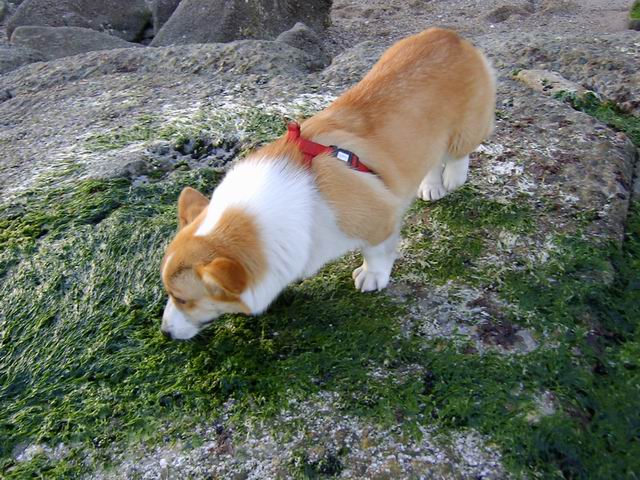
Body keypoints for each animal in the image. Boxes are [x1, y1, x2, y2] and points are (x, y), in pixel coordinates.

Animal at [160, 28, 495, 339]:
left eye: (183, 299)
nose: (164, 332)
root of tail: (449, 35)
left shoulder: (379, 221)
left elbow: (376, 254)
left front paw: (371, 277)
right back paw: (430, 185)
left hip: (466, 128)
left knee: (459, 151)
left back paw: (453, 176)